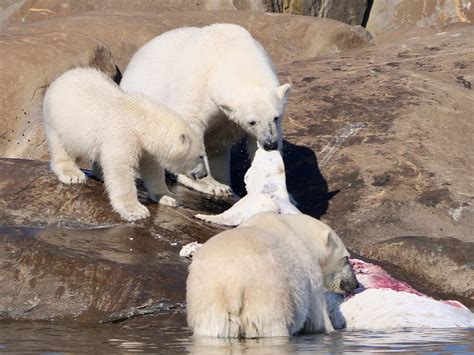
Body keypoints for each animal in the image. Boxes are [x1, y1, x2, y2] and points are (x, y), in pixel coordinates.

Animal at [43, 68, 207, 221]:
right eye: (200, 156)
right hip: (59, 120)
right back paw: (72, 174)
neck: (141, 119)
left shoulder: (145, 147)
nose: (204, 174)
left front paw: (169, 197)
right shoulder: (123, 135)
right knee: (61, 148)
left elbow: (152, 169)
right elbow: (120, 167)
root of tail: (61, 78)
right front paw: (136, 211)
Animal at [121, 23, 292, 197]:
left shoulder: (227, 119)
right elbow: (190, 128)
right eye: (252, 122)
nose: (270, 144)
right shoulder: (196, 86)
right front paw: (212, 185)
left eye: (276, 117)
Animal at [187, 213, 358, 338]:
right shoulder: (310, 271)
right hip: (266, 293)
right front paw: (332, 330)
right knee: (271, 327)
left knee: (213, 329)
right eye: (347, 258)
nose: (355, 284)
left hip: (208, 297)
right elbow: (318, 319)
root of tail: (232, 284)